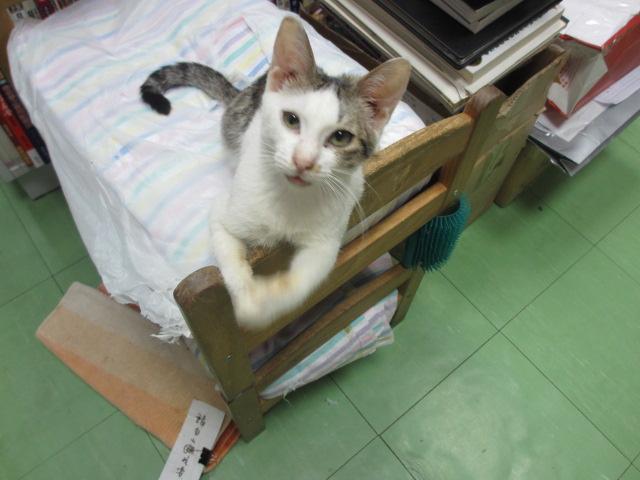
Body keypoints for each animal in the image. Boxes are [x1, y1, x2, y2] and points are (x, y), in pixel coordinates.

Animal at [140, 17, 410, 330]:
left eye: (341, 137)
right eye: (291, 120)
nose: (303, 161)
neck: (290, 198)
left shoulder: (327, 237)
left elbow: (306, 278)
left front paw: (269, 300)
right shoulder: (223, 213)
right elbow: (229, 254)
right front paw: (247, 301)